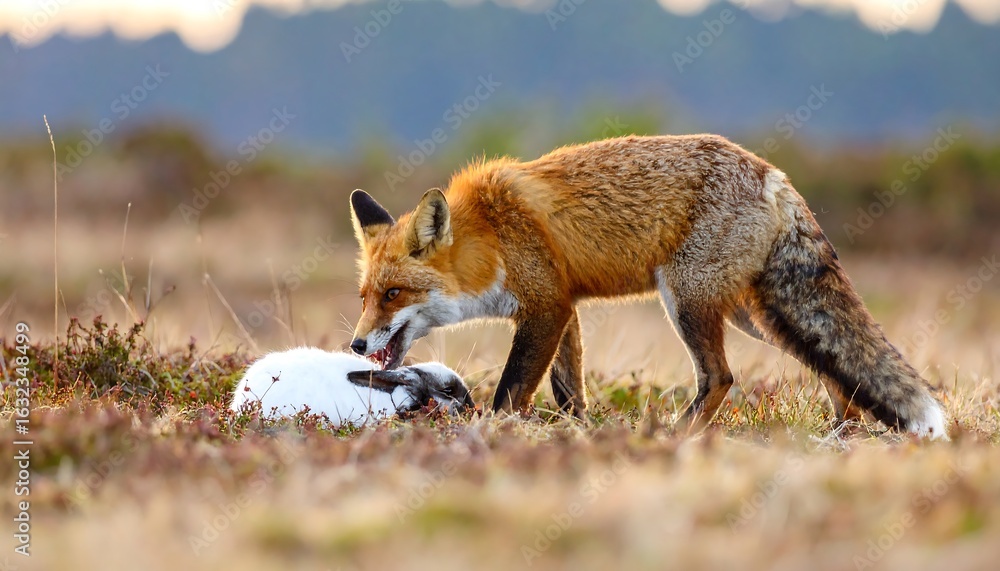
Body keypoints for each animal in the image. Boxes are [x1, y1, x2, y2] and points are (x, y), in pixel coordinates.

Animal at [348, 134, 948, 439]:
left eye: (394, 294)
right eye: (365, 297)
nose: (355, 344)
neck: (492, 236)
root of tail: (772, 174)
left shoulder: (545, 307)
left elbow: (512, 391)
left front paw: (494, 436)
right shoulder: (563, 308)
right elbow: (570, 390)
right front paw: (576, 435)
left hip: (688, 301)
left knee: (721, 376)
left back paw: (675, 435)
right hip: (753, 314)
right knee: (832, 364)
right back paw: (841, 433)